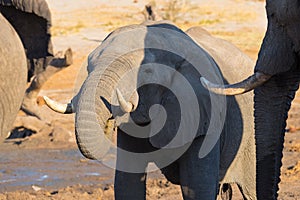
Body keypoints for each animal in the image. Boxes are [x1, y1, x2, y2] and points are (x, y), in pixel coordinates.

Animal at [43, 21, 256, 199]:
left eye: (146, 71)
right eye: (88, 67)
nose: (109, 121)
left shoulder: (203, 110)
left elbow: (197, 187)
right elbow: (127, 182)